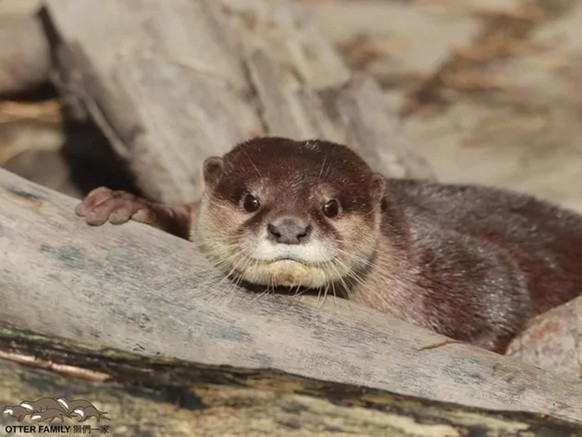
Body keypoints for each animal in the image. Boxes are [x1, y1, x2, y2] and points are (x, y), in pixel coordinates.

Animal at [75, 136, 582, 350]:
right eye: (251, 200)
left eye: (331, 206)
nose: (288, 228)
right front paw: (129, 205)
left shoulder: (455, 261)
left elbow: (504, 286)